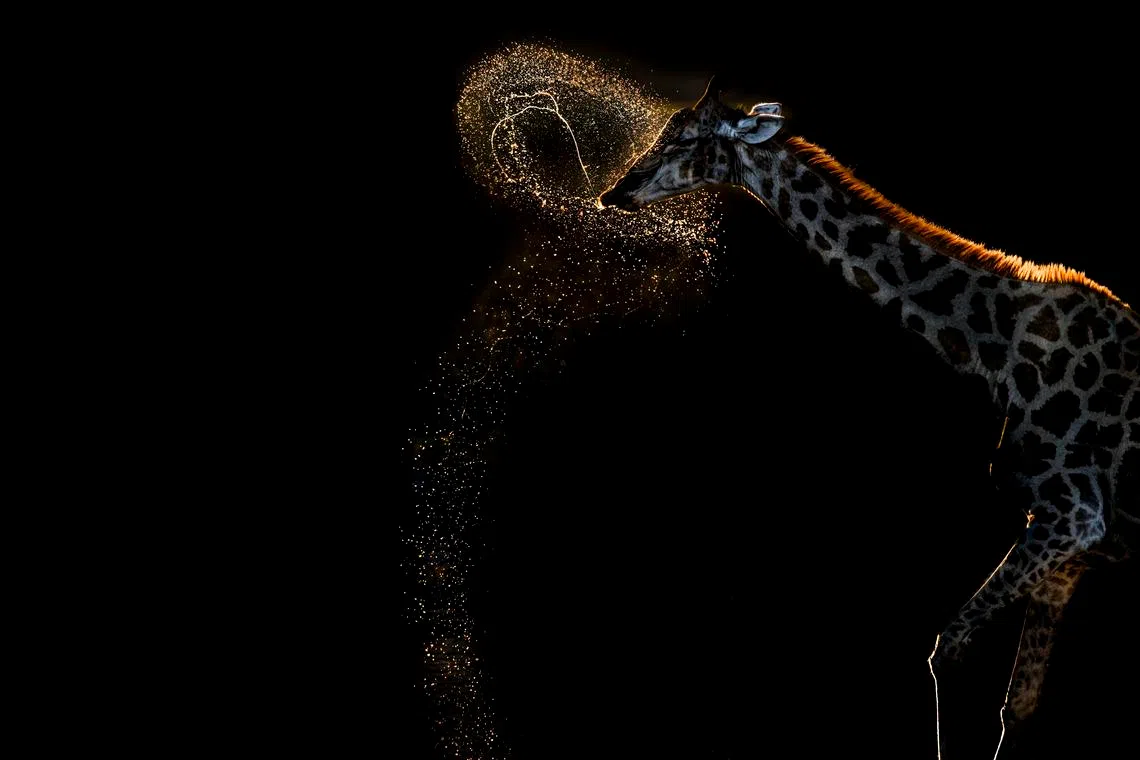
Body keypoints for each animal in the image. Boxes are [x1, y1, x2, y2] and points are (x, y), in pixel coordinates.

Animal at [600, 82, 1139, 752]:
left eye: (686, 138)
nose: (614, 192)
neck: (996, 351)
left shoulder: (1074, 517)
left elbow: (949, 649)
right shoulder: (1071, 544)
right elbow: (1018, 704)